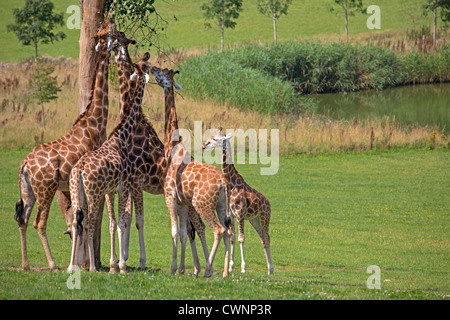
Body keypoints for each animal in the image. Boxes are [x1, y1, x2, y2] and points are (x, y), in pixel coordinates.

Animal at [14, 15, 118, 270]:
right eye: (110, 29)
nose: (121, 37)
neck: (94, 122)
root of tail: (24, 164)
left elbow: (77, 223)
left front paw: (84, 263)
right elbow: (86, 222)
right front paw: (88, 264)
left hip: (29, 190)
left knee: (23, 220)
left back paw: (26, 264)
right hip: (46, 189)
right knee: (39, 223)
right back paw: (52, 264)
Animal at [67, 52, 151, 272]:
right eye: (145, 65)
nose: (147, 56)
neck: (121, 138)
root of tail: (79, 170)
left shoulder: (110, 190)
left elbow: (112, 223)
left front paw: (114, 265)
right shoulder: (123, 187)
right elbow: (121, 222)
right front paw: (121, 266)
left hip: (77, 192)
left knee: (76, 222)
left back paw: (72, 266)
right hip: (93, 193)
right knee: (89, 222)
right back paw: (92, 267)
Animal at [152, 65, 232, 278]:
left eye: (162, 74)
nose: (151, 67)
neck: (172, 148)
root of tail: (224, 183)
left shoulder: (170, 196)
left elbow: (173, 231)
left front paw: (173, 268)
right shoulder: (182, 202)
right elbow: (183, 233)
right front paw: (181, 268)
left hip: (202, 203)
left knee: (218, 230)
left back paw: (208, 270)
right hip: (221, 204)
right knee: (228, 231)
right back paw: (224, 273)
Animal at [204, 127, 274, 276]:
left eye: (216, 139)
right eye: (211, 137)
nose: (204, 145)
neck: (232, 184)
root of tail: (269, 204)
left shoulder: (240, 215)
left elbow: (241, 239)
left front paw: (243, 267)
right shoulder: (231, 215)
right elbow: (232, 238)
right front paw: (230, 266)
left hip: (265, 217)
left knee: (267, 238)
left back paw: (271, 268)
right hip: (254, 220)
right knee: (262, 239)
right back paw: (269, 269)